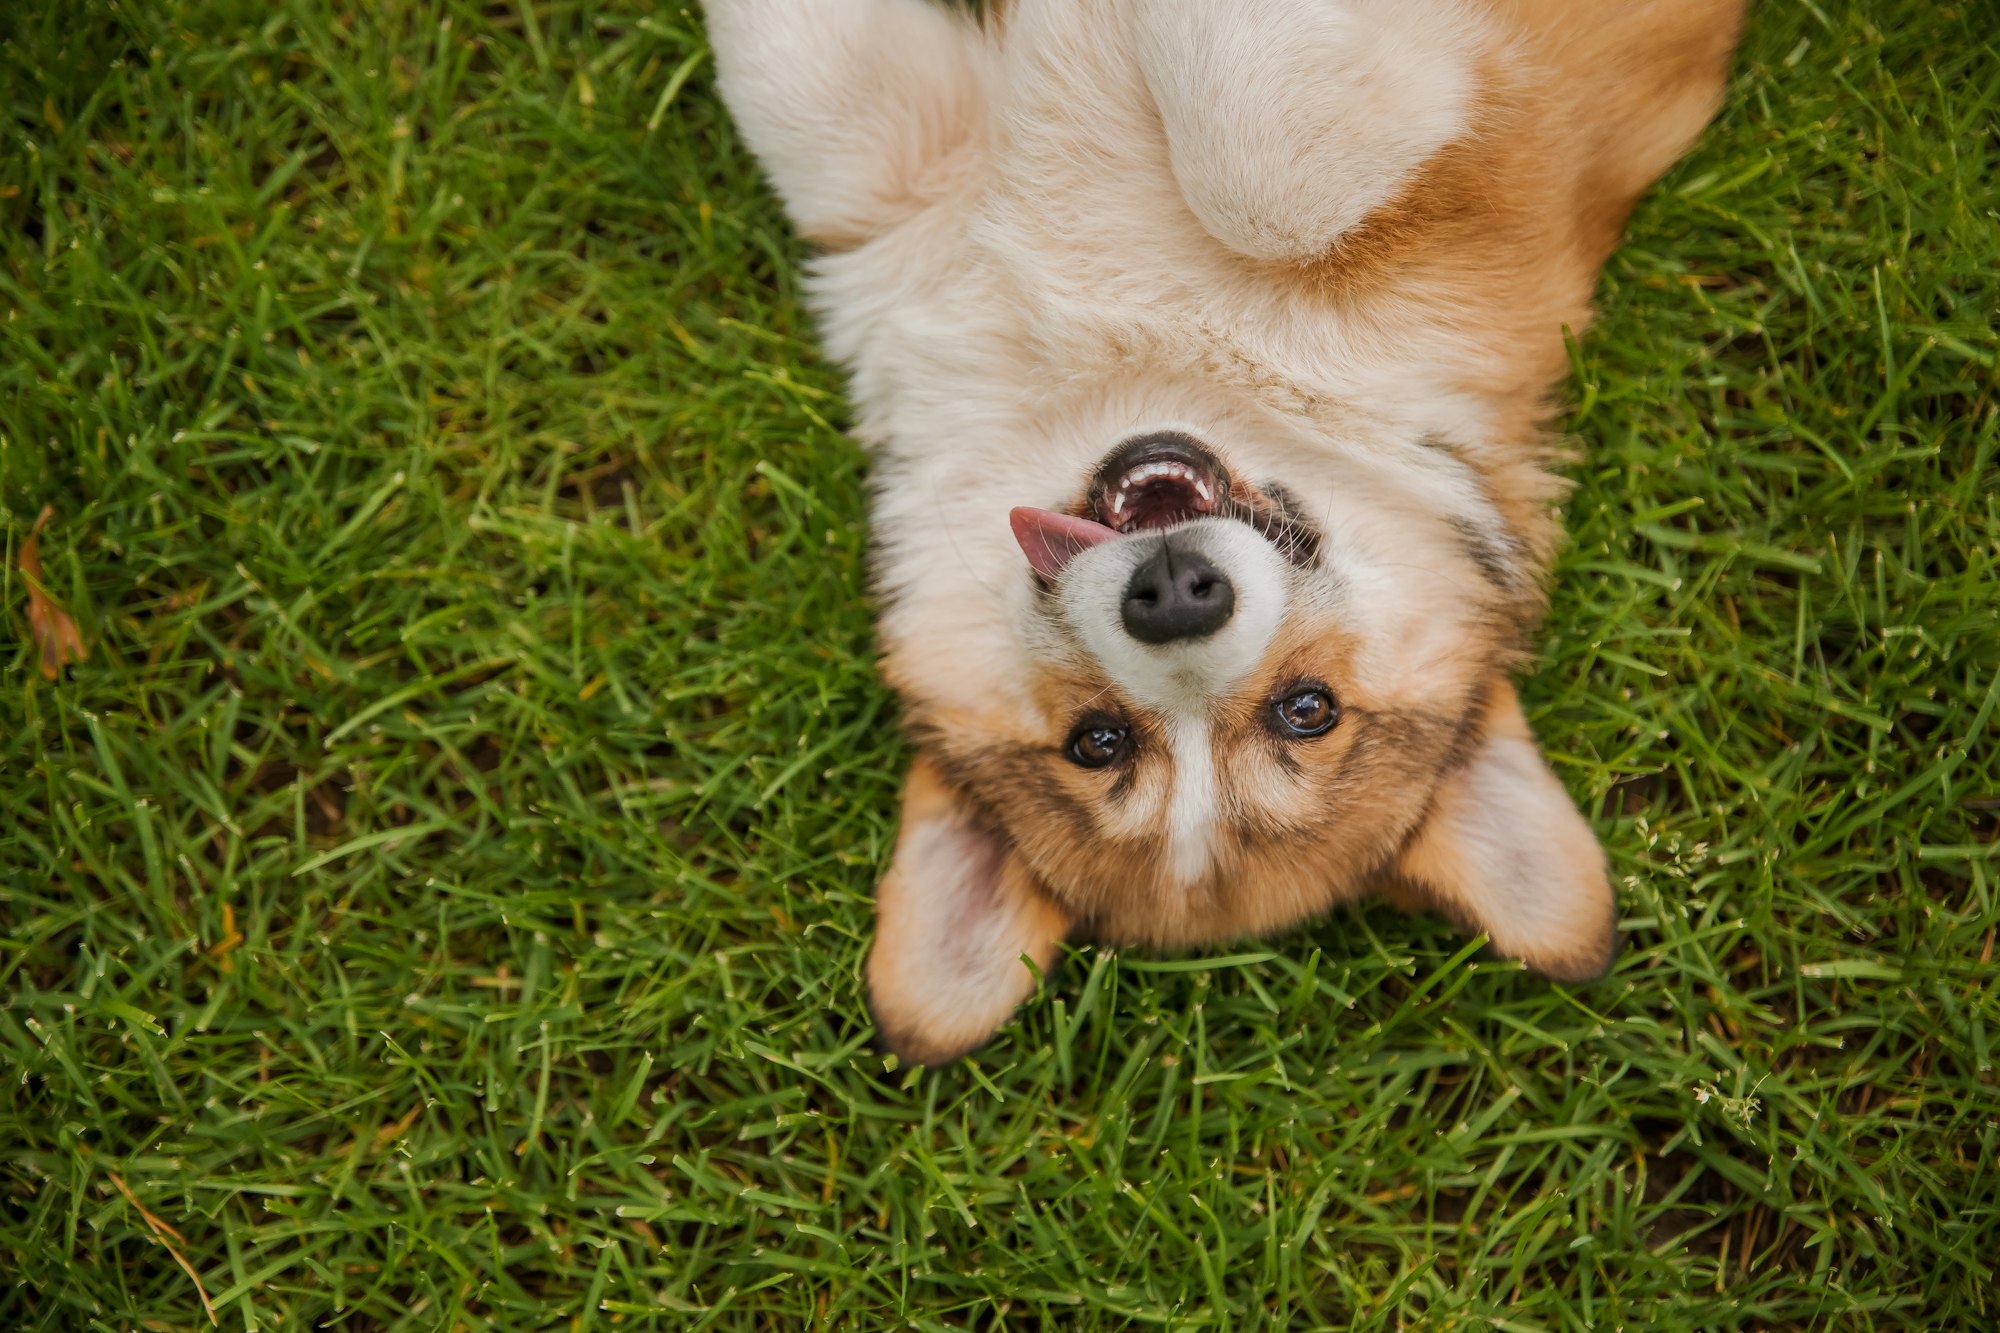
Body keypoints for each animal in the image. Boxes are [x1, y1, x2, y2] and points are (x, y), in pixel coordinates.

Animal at [712, 0, 1744, 1056]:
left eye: (1307, 709)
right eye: (1099, 741)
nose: (1174, 597)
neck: (1129, 360)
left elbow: (1254, 175)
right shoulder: (899, 200)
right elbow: (799, 73)